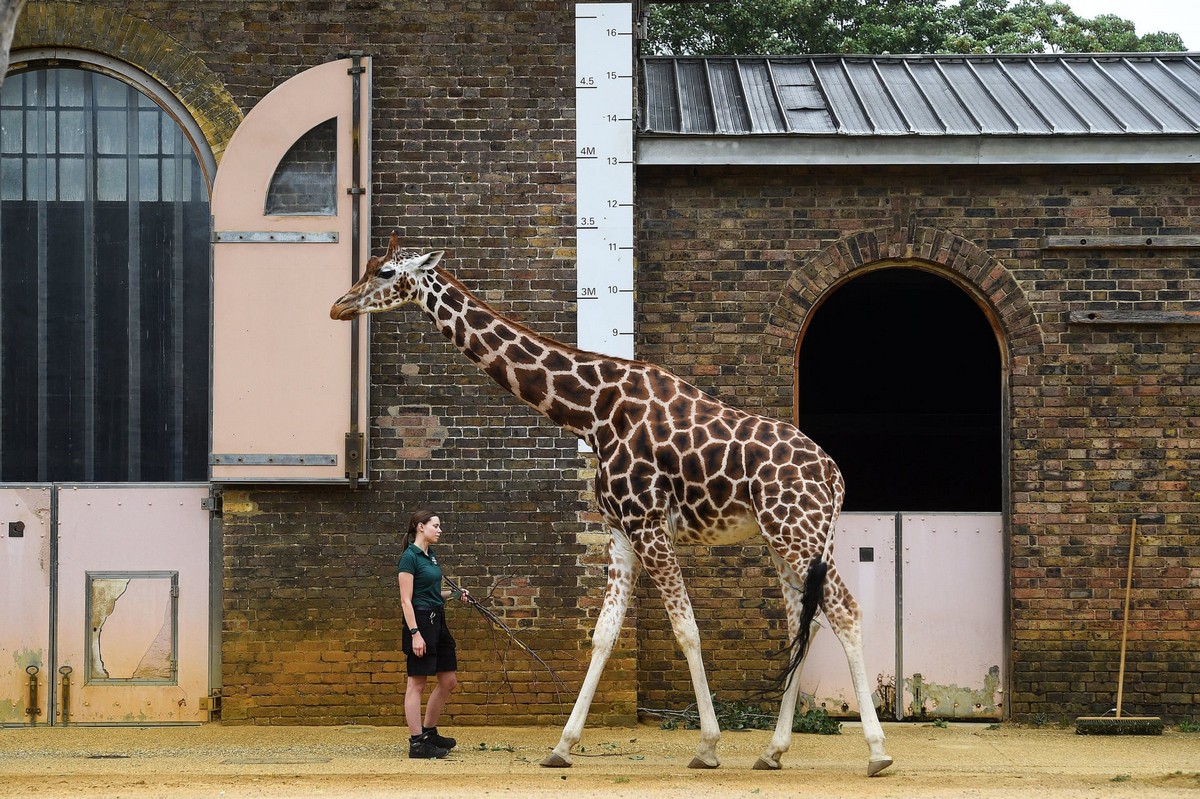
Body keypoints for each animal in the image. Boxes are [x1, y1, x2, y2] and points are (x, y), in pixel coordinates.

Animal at [328, 235, 892, 772]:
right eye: (366, 268)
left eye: (384, 271)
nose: (339, 306)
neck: (592, 412)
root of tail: (835, 477)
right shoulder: (620, 530)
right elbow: (603, 634)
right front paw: (562, 746)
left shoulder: (648, 525)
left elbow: (687, 629)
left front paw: (707, 746)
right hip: (787, 538)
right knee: (807, 621)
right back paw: (773, 751)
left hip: (798, 532)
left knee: (845, 612)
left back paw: (877, 752)